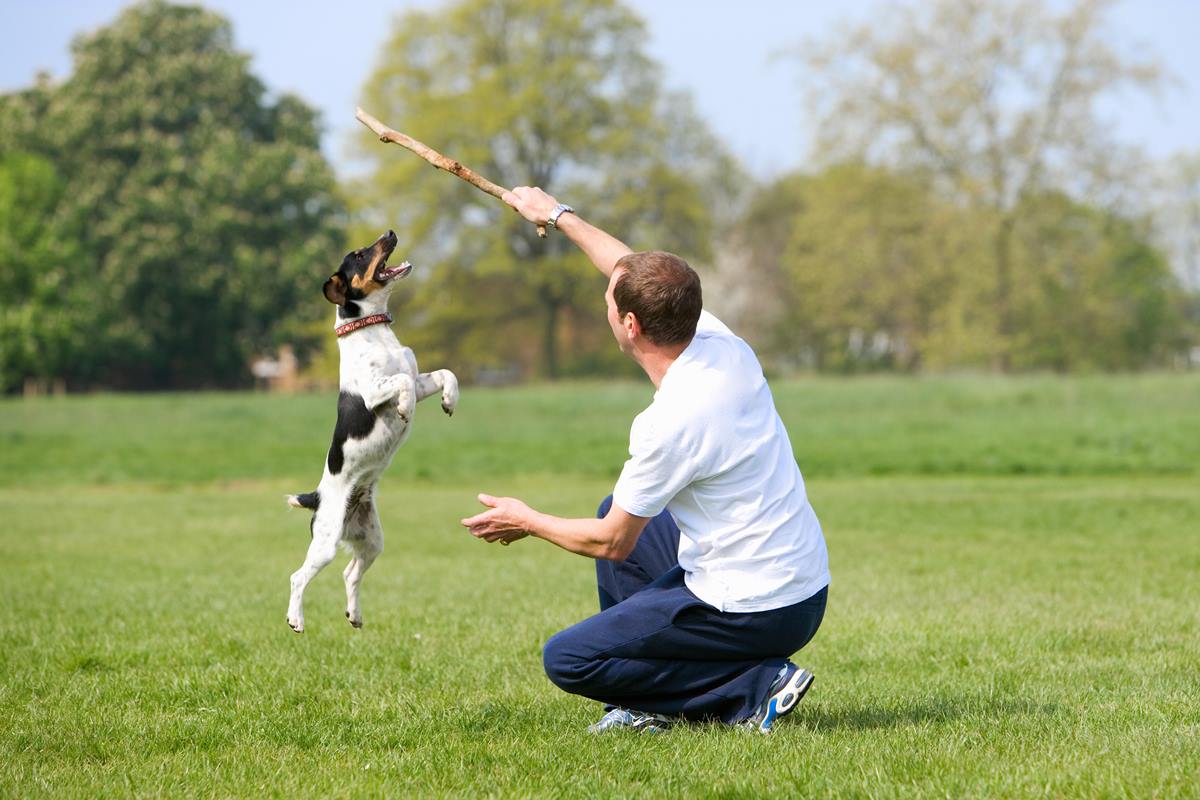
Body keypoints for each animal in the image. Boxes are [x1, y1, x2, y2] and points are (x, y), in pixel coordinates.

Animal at [285, 230, 458, 633]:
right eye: (361, 255)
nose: (390, 233)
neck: (374, 330)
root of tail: (316, 498)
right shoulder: (375, 391)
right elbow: (401, 386)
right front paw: (405, 410)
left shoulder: (419, 379)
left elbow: (445, 374)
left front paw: (449, 400)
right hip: (326, 543)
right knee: (298, 577)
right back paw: (296, 619)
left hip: (371, 540)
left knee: (350, 573)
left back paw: (355, 615)